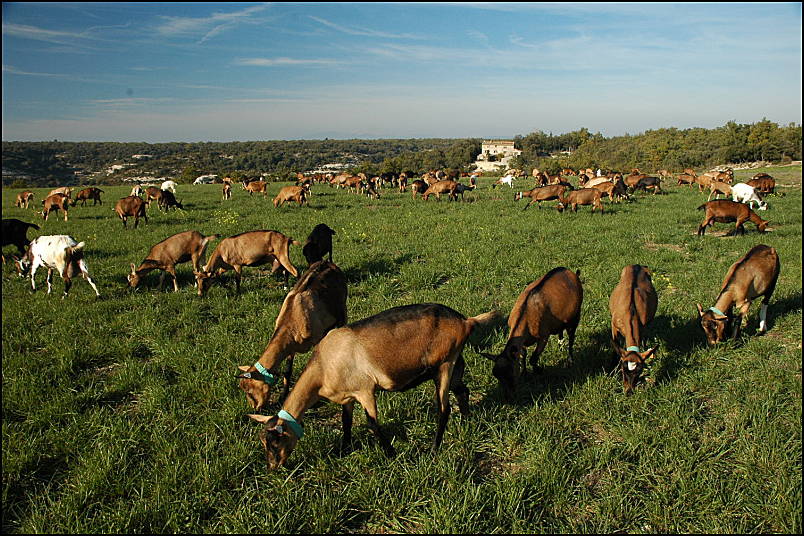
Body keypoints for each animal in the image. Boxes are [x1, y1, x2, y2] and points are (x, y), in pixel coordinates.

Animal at [245, 304, 496, 472]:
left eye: (275, 442)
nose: (273, 468)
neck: (324, 366)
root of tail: (465, 321)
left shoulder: (365, 390)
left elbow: (372, 423)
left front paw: (391, 454)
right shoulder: (347, 397)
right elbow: (346, 422)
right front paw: (344, 449)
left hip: (444, 365)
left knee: (443, 410)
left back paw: (434, 449)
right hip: (455, 364)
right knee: (462, 391)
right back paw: (467, 421)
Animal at [480, 266, 580, 396]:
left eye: (511, 372)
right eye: (496, 376)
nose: (508, 396)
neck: (526, 315)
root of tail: (571, 272)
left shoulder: (543, 336)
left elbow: (533, 358)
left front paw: (539, 370)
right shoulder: (522, 341)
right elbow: (523, 355)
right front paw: (524, 373)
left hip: (575, 317)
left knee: (571, 338)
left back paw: (570, 360)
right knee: (561, 331)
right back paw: (560, 346)